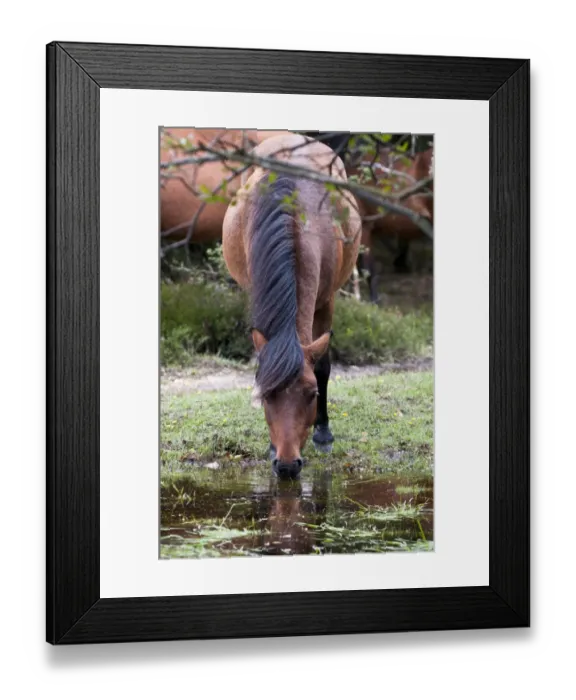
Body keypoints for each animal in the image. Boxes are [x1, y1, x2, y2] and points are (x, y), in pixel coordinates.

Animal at [222, 133, 362, 478]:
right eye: (265, 396)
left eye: (312, 395)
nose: (286, 465)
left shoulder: (326, 301)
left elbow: (323, 365)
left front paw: (323, 433)